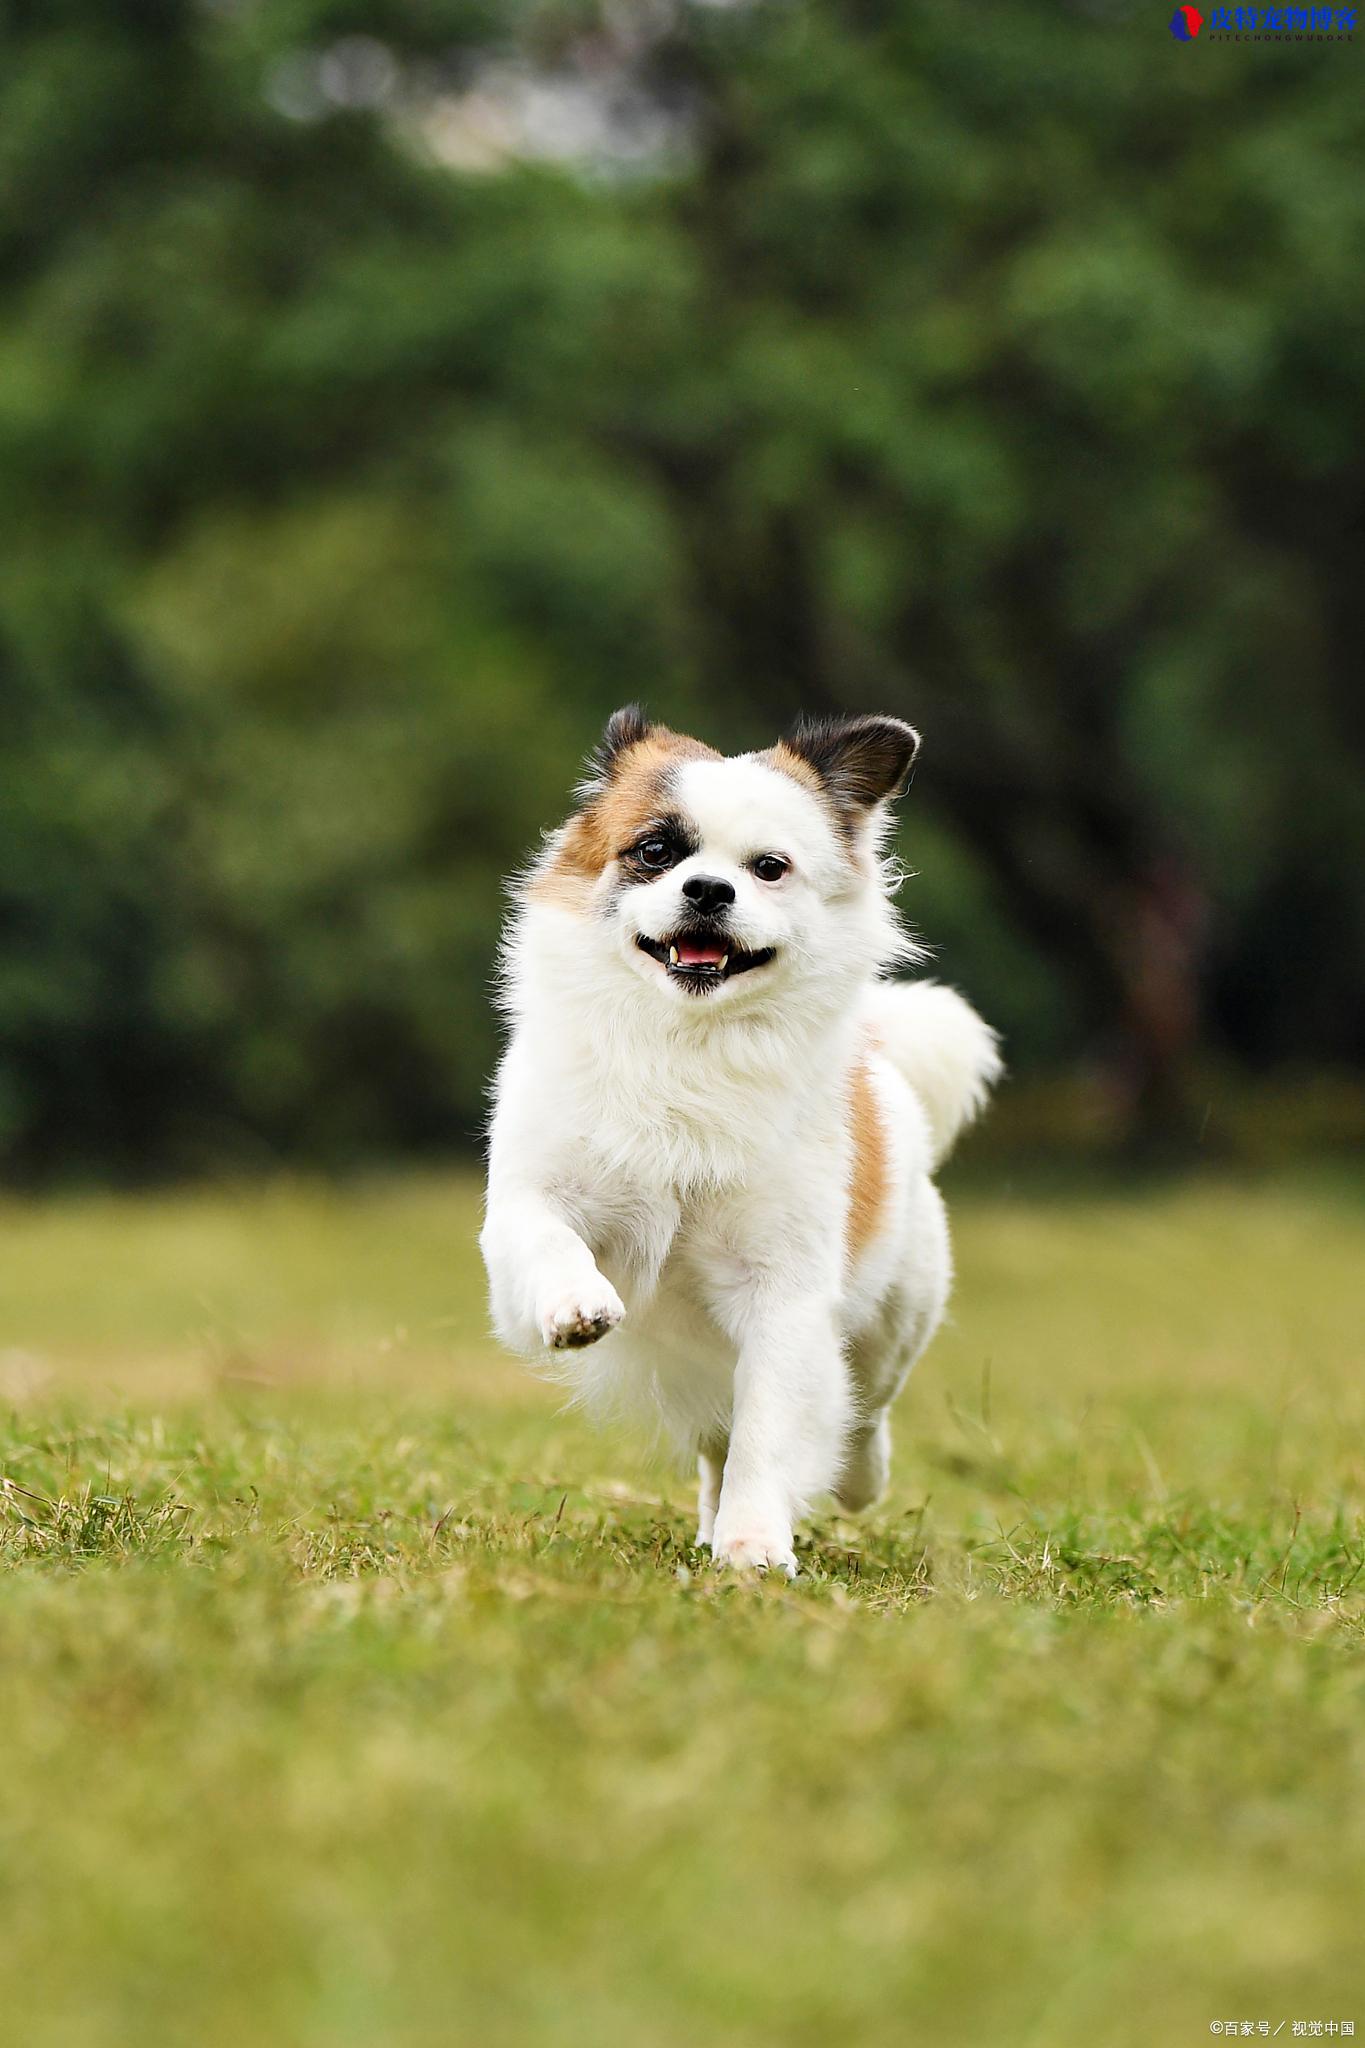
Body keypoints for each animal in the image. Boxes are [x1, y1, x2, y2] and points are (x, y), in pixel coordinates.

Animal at [482, 712, 1002, 1572]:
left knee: (861, 1409)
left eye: (768, 869)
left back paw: (853, 1479)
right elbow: (547, 1238)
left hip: (896, 1319)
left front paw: (755, 1544)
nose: (707, 889)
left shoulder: (782, 1293)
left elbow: (771, 1427)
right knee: (716, 1443)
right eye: (655, 851)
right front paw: (576, 1303)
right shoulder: (529, 1202)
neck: (686, 1042)